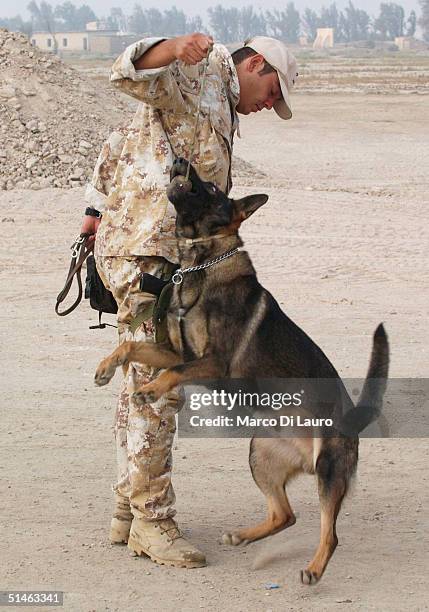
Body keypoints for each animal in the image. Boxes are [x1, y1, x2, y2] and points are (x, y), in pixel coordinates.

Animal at [94, 157, 388, 584]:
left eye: (214, 189)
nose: (180, 159)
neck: (200, 263)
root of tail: (352, 417)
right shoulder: (173, 351)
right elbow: (131, 345)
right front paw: (105, 367)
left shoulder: (211, 364)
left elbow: (172, 374)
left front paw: (151, 389)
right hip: (260, 456)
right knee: (286, 514)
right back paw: (244, 536)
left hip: (328, 469)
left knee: (329, 533)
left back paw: (314, 569)